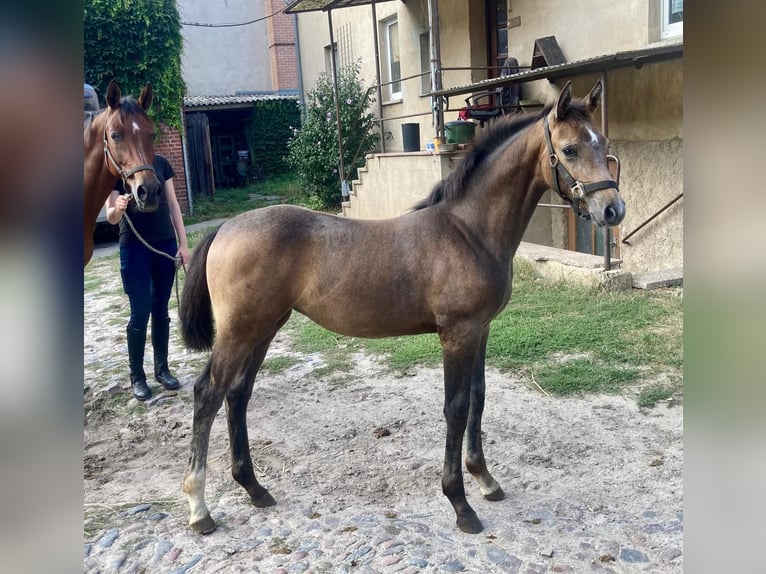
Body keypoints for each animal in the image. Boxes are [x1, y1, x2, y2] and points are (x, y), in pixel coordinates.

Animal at [178, 80, 625, 535]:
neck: (468, 231)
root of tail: (225, 228)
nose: (613, 210)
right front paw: (460, 504)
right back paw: (199, 507)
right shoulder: (457, 333)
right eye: (569, 149)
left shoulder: (481, 329)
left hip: (264, 329)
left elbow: (478, 397)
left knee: (238, 394)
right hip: (240, 332)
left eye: (604, 143)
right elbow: (456, 408)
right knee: (208, 394)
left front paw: (485, 479)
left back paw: (254, 488)